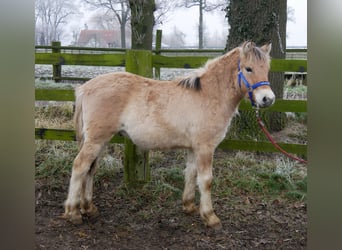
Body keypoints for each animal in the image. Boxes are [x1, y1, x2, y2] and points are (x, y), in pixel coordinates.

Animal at [62, 40, 274, 229]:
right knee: (80, 166)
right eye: (248, 69)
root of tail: (84, 88)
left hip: (101, 141)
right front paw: (210, 217)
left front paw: (189, 206)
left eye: (266, 69)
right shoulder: (205, 148)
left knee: (91, 169)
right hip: (96, 141)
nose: (268, 99)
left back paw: (88, 208)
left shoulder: (194, 148)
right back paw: (73, 212)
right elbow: (206, 180)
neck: (209, 95)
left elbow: (191, 173)